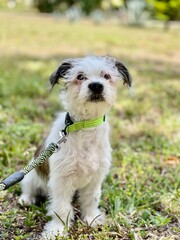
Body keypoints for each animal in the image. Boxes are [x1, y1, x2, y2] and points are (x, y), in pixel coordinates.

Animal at [18, 55, 131, 238]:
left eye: (106, 76)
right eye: (80, 76)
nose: (96, 86)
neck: (85, 127)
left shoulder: (95, 178)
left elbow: (91, 200)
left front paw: (91, 218)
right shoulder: (61, 180)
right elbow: (61, 208)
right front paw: (57, 230)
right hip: (30, 175)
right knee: (29, 188)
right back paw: (26, 198)